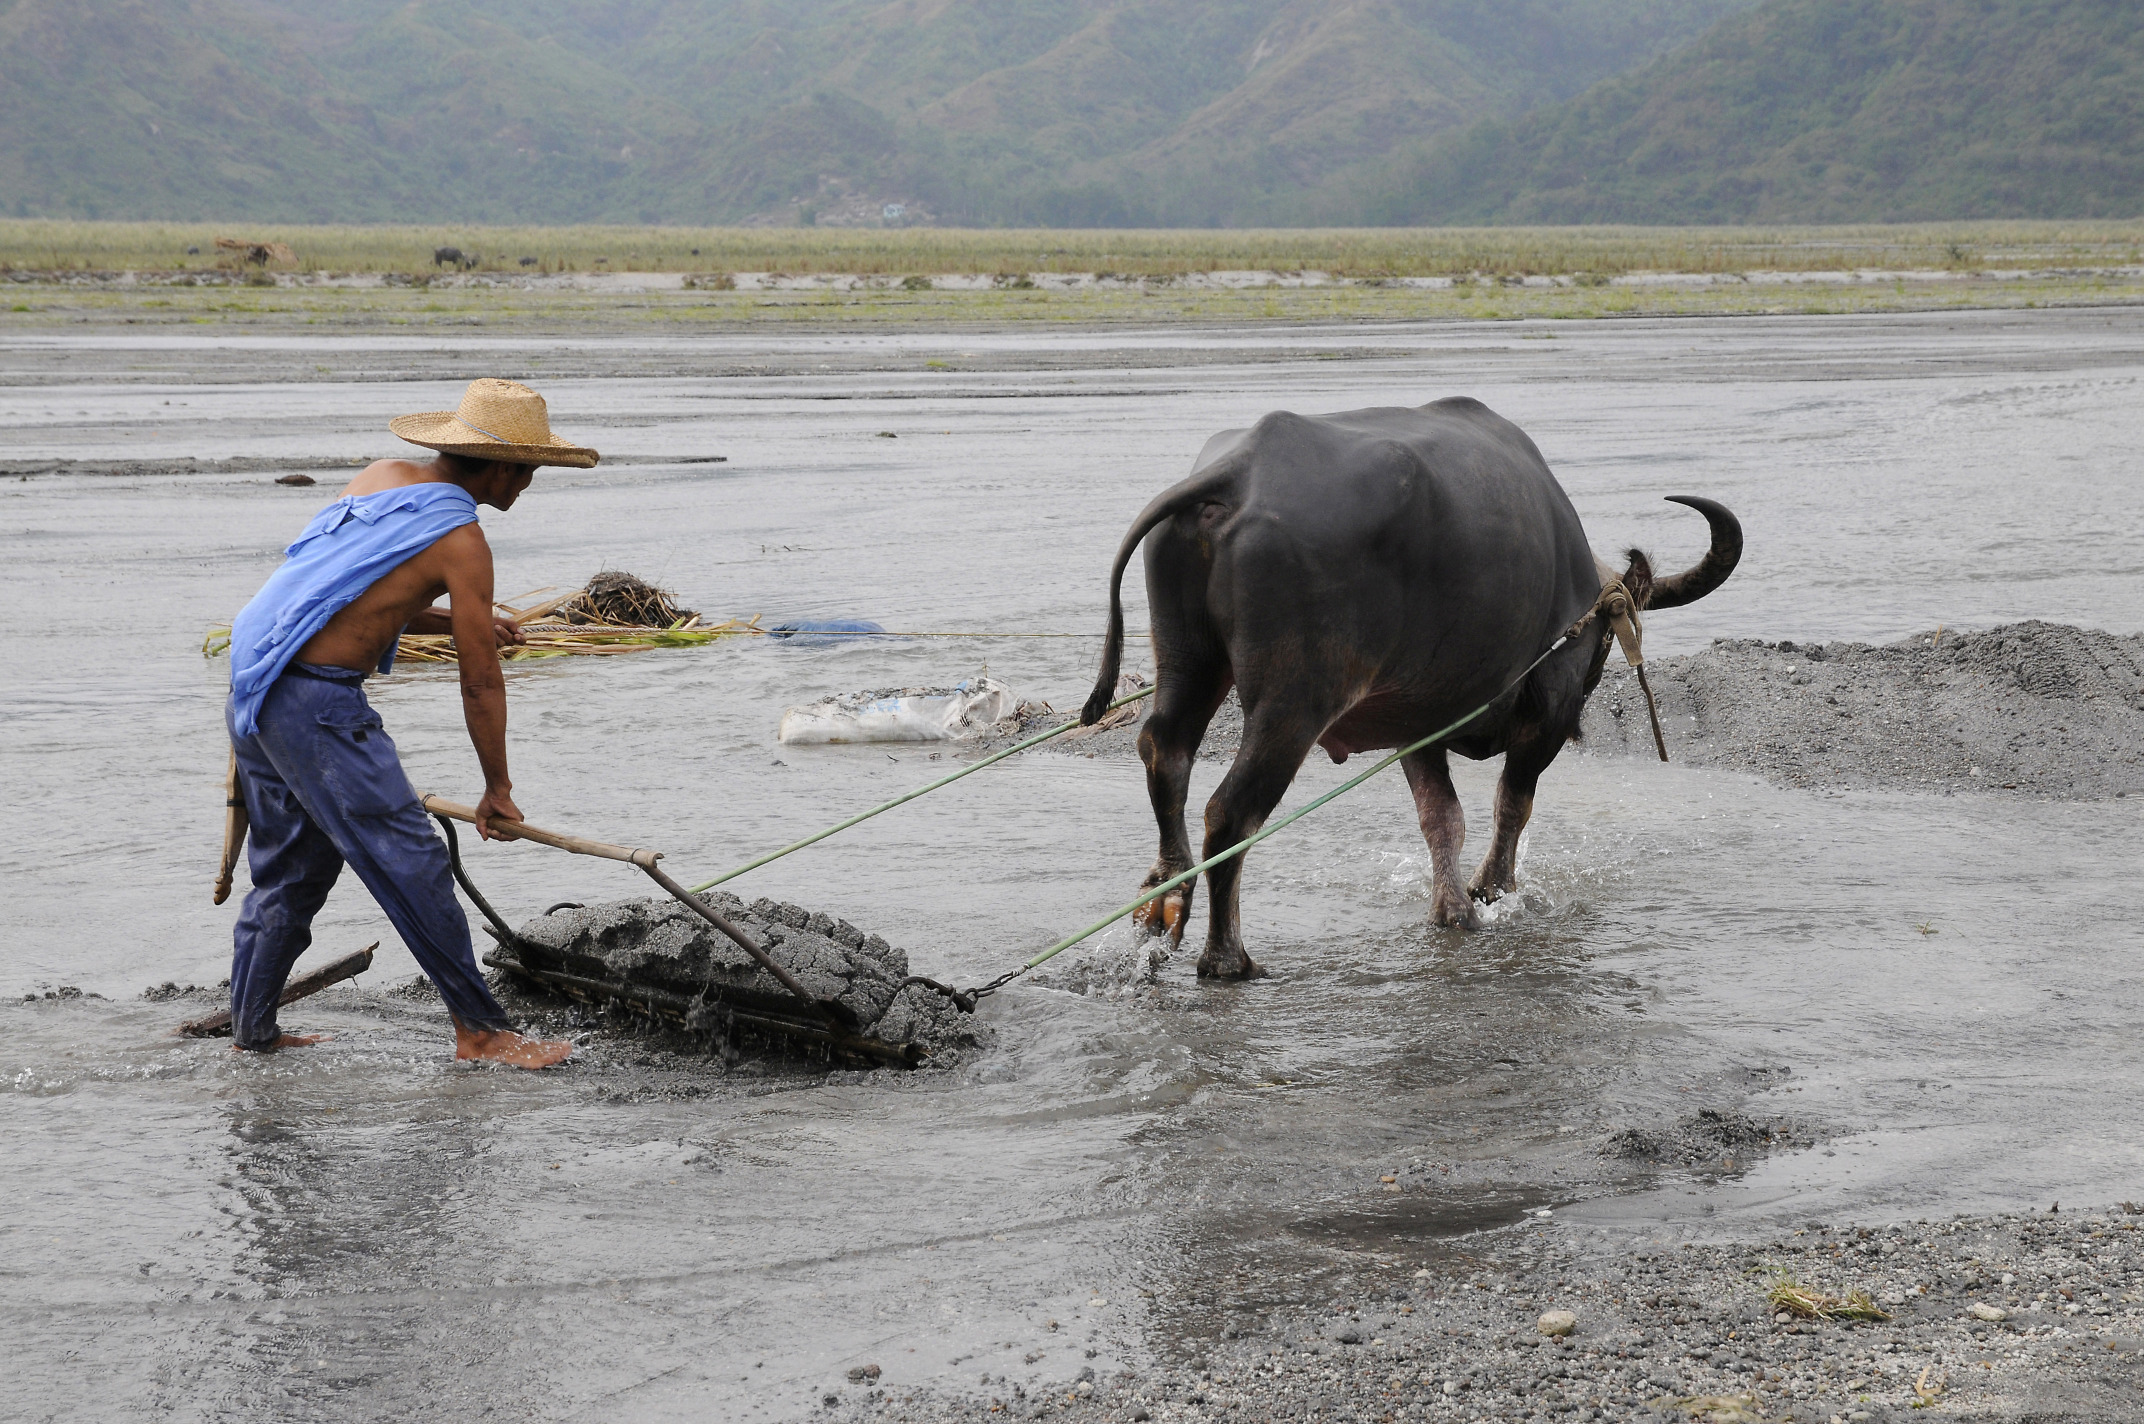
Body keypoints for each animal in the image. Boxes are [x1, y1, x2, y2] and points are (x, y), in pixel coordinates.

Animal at [1080, 397, 1741, 978]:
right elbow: (1512, 803)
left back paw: (1163, 900)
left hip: (1188, 662)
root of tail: (1239, 473)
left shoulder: (1414, 723)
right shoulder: (1546, 715)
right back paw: (1227, 958)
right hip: (1293, 701)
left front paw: (1454, 912)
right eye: (1602, 644)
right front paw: (1492, 891)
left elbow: (1441, 817)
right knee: (1231, 810)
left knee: (1165, 754)